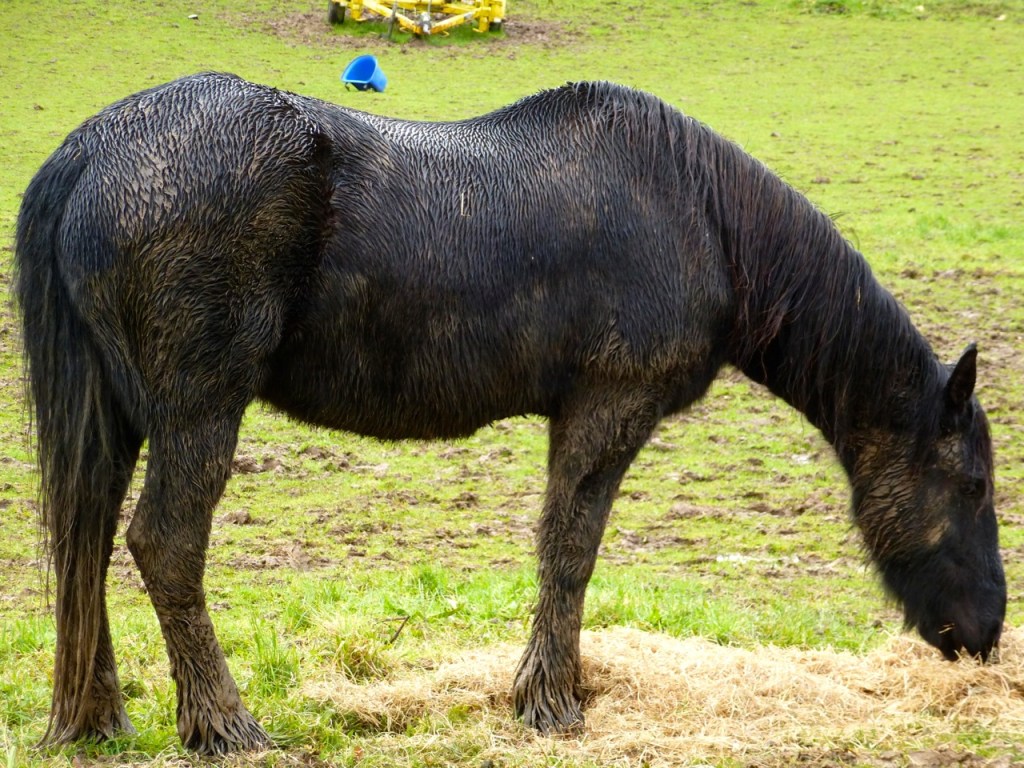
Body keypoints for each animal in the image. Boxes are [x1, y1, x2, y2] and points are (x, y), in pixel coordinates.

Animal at [14, 73, 1006, 755]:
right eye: (975, 485)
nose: (988, 632)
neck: (701, 214)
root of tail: (92, 149)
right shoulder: (608, 409)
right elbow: (570, 553)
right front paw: (551, 702)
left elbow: (562, 551)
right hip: (200, 412)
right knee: (165, 545)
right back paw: (224, 726)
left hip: (117, 417)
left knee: (87, 544)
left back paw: (97, 719)